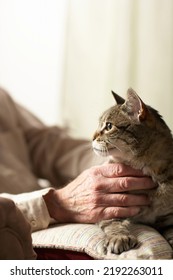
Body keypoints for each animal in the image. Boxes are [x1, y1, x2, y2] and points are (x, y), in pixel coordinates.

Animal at [92, 88, 173, 255]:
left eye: (108, 126)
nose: (92, 137)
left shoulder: (168, 218)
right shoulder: (108, 208)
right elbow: (114, 224)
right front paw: (119, 237)